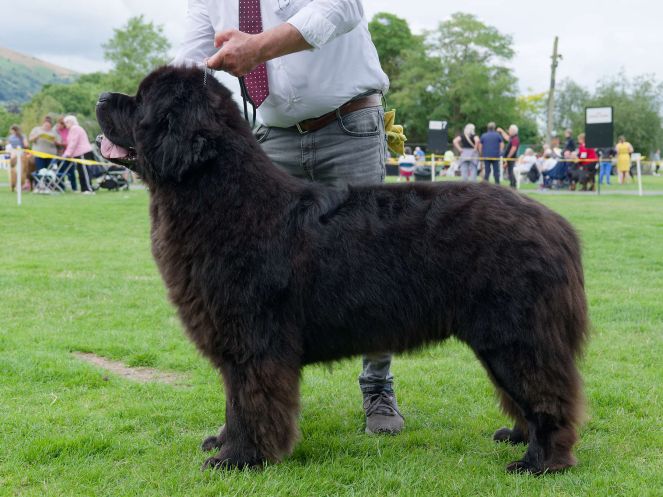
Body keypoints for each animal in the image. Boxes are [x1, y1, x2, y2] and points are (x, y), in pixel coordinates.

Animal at [96, 65, 588, 472]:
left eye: (141, 100)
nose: (100, 96)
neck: (221, 196)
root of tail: (555, 223)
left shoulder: (253, 340)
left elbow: (250, 401)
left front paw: (239, 458)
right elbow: (234, 402)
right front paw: (224, 443)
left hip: (514, 333)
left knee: (547, 393)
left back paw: (541, 461)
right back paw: (516, 437)